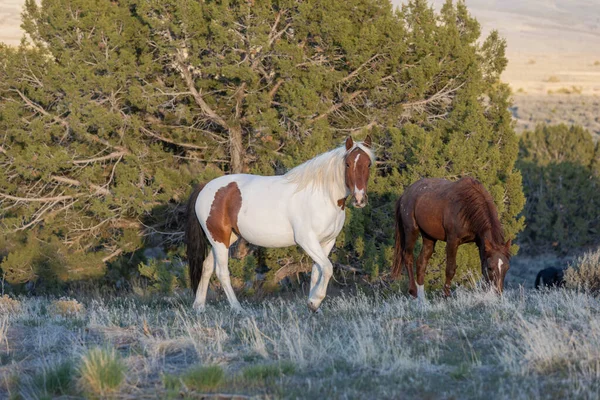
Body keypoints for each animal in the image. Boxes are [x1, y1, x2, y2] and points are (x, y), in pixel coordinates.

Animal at [185, 136, 372, 310]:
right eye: (347, 164)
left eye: (369, 164)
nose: (359, 199)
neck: (322, 195)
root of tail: (205, 187)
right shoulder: (307, 241)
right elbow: (327, 268)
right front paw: (315, 300)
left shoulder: (327, 242)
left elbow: (317, 271)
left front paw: (312, 305)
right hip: (219, 239)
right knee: (221, 272)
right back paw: (237, 308)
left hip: (225, 238)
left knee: (207, 266)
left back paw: (199, 306)